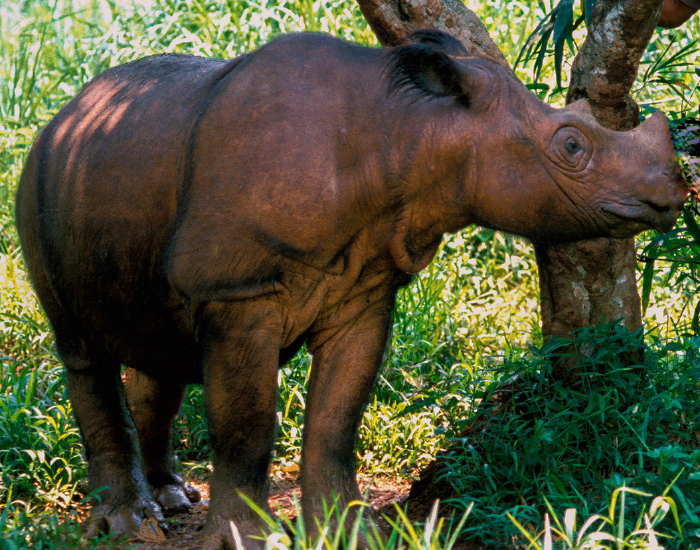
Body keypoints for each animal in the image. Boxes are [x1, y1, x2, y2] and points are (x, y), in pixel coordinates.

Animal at [16, 30, 687, 548]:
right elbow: (247, 426)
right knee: (82, 349)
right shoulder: (240, 292)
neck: (410, 132)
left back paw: (174, 500)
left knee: (159, 353)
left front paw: (347, 533)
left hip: (114, 167)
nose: (674, 192)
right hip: (37, 177)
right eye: (571, 145)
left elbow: (338, 419)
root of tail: (65, 112)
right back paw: (128, 525)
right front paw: (245, 540)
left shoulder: (365, 286)